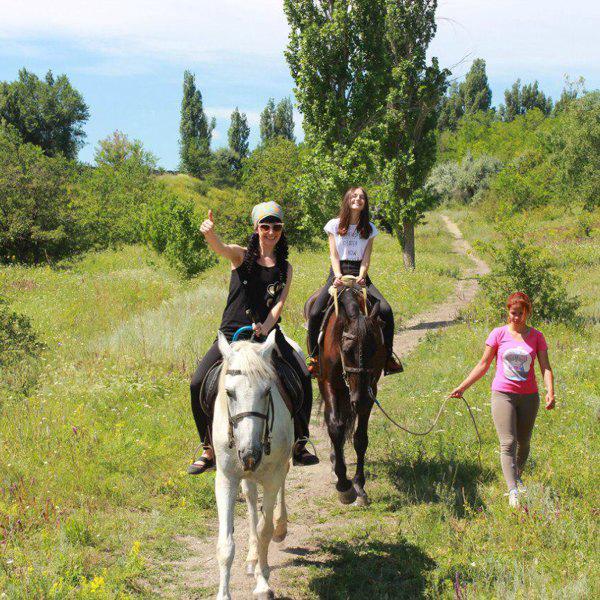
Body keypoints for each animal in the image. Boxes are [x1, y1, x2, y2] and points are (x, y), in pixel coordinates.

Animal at [213, 330, 296, 596]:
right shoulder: (226, 478)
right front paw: (223, 594)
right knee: (250, 500)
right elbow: (226, 543)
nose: (250, 454)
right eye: (229, 393)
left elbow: (264, 531)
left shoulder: (272, 477)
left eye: (267, 391)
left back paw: (281, 526)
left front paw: (262, 583)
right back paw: (251, 557)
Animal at [304, 284, 384, 504]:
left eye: (375, 349)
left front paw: (359, 485)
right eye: (347, 350)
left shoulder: (371, 390)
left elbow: (360, 438)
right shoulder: (328, 383)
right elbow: (335, 425)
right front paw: (343, 485)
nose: (360, 400)